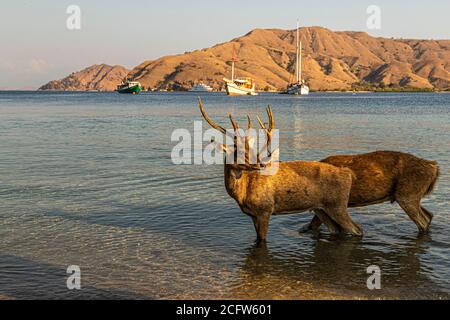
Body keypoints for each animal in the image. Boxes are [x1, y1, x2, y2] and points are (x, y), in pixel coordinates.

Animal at [199, 98, 364, 242]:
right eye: (238, 153)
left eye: (252, 151)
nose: (261, 164)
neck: (241, 195)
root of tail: (349, 174)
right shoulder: (252, 215)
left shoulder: (265, 209)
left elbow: (262, 240)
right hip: (321, 208)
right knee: (336, 229)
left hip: (338, 204)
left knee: (357, 229)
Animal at [302, 151, 440, 234]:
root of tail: (434, 168)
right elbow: (312, 225)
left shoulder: (329, 204)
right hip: (410, 195)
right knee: (429, 214)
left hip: (407, 195)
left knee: (422, 221)